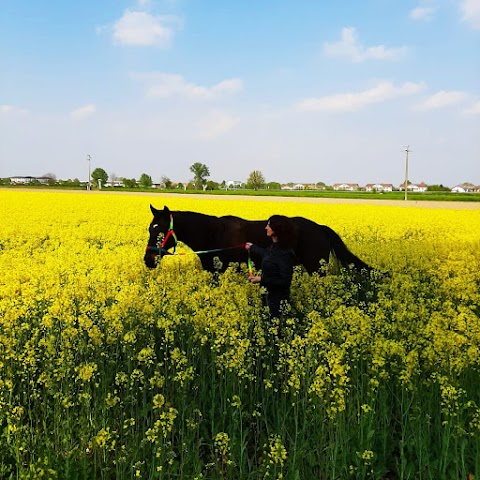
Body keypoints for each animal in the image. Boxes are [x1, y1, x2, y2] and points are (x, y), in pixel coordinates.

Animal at [143, 204, 372, 276]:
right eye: (149, 229)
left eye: (160, 231)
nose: (148, 260)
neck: (212, 233)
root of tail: (320, 228)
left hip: (317, 268)